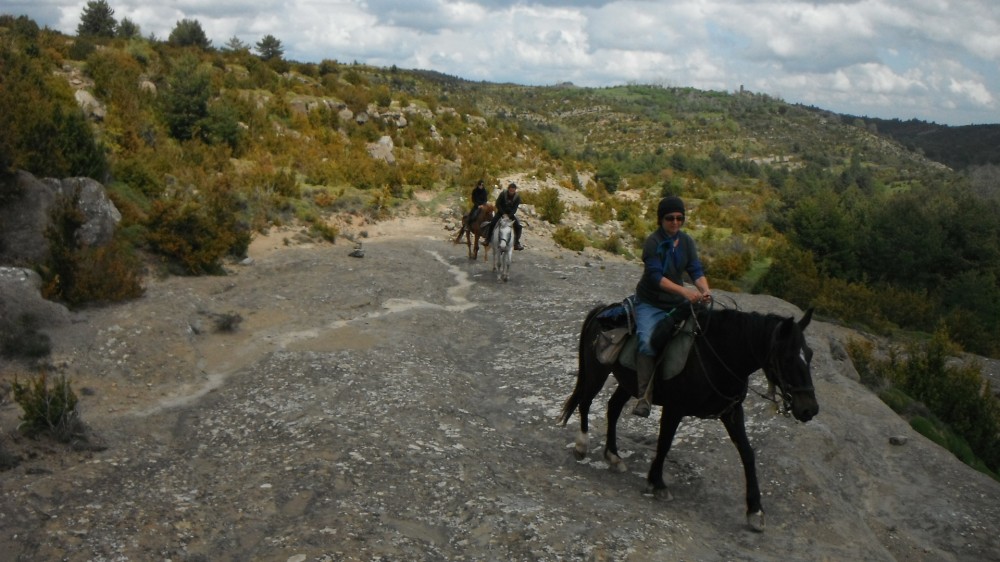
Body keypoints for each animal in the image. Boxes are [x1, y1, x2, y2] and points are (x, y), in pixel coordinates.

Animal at [560, 302, 816, 528]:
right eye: (787, 358)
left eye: (810, 355)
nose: (810, 409)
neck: (719, 355)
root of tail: (603, 309)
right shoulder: (674, 408)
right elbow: (664, 444)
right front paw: (657, 483)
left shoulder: (732, 412)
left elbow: (747, 454)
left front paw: (755, 510)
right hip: (597, 371)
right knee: (585, 403)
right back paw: (582, 445)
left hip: (628, 383)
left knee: (612, 408)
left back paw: (613, 456)